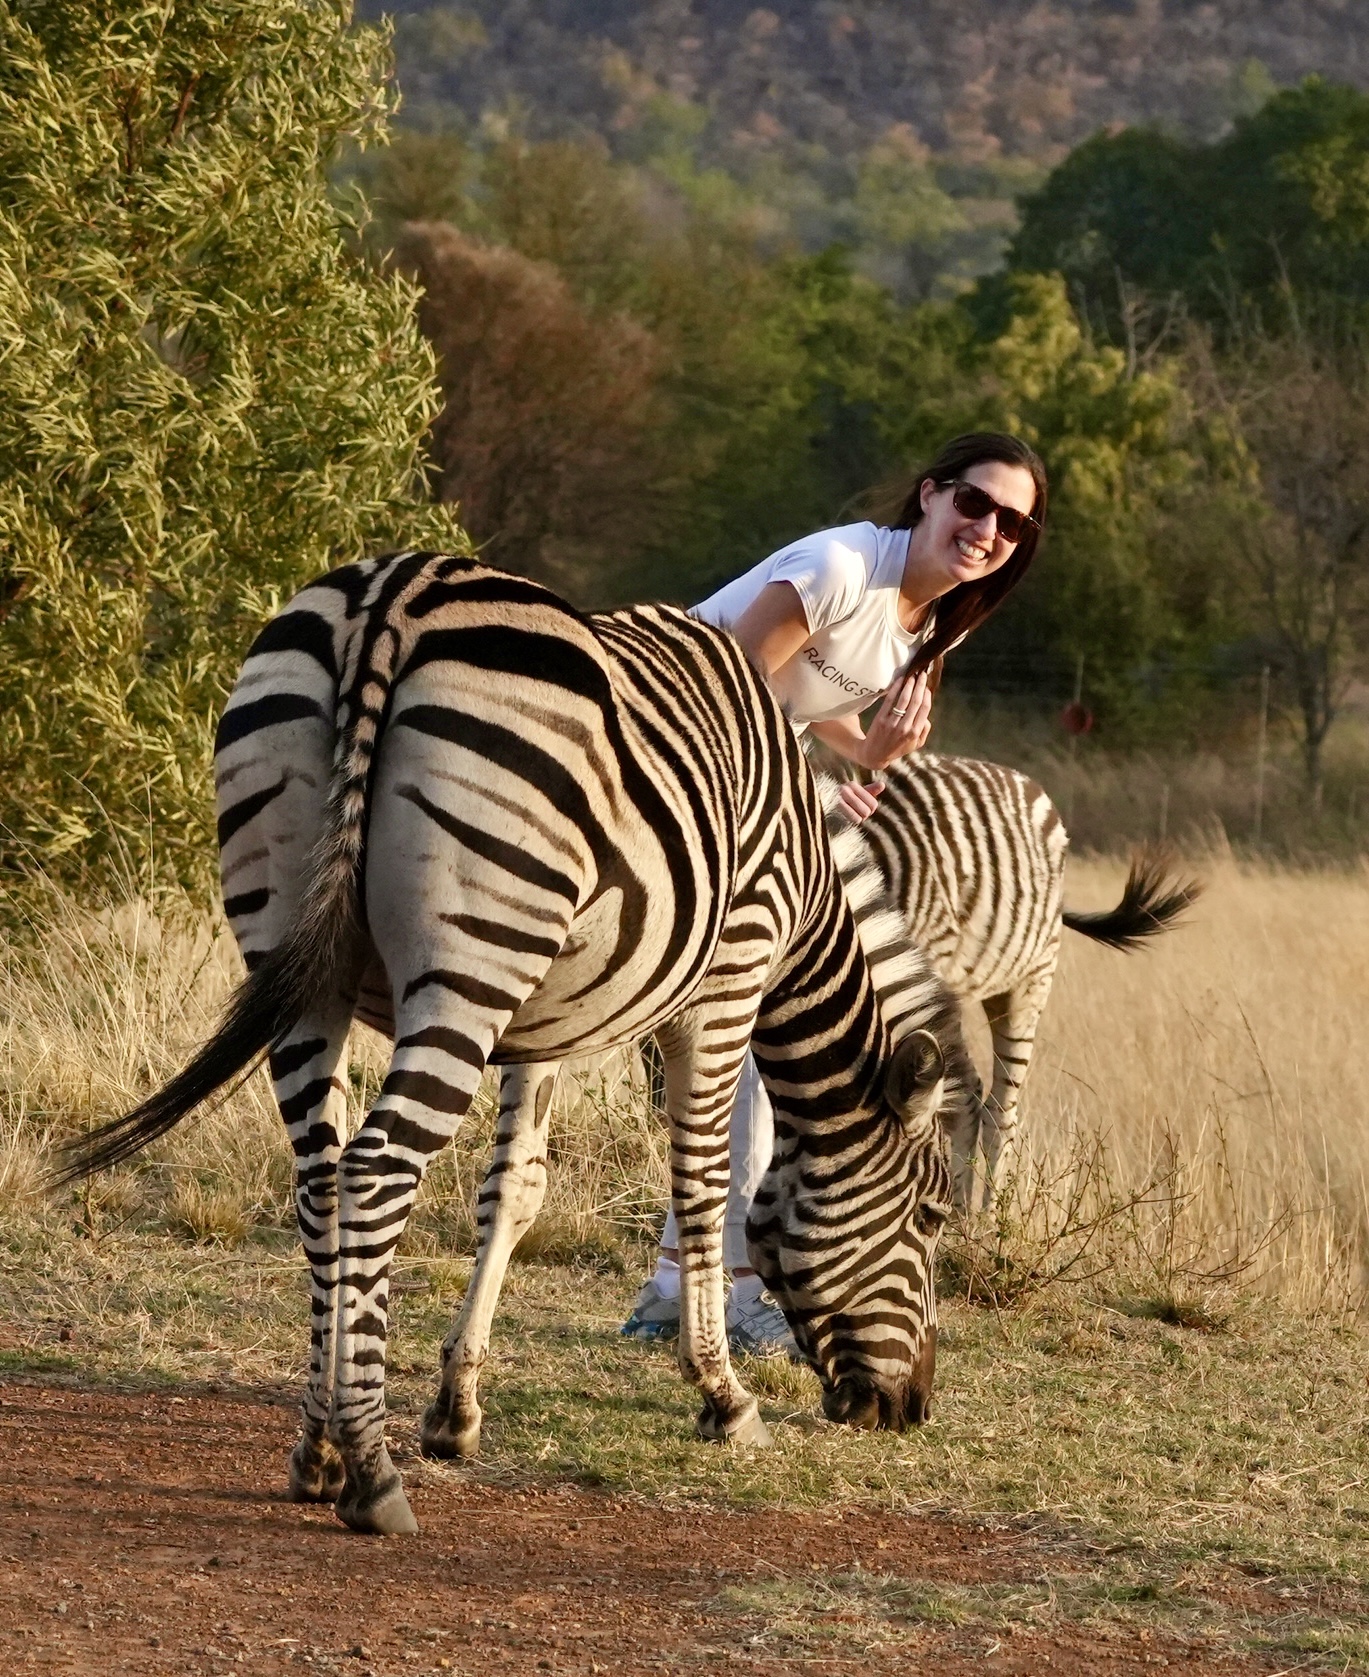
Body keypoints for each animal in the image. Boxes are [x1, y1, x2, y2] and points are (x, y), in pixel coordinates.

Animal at [53, 553, 973, 1536]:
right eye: (930, 1216)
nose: (910, 1410)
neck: (804, 893)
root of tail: (391, 597)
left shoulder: (549, 1019)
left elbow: (513, 1193)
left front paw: (456, 1409)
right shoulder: (726, 984)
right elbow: (704, 1190)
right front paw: (724, 1397)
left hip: (304, 956)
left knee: (320, 1175)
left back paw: (318, 1448)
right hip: (471, 963)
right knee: (373, 1171)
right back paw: (370, 1469)